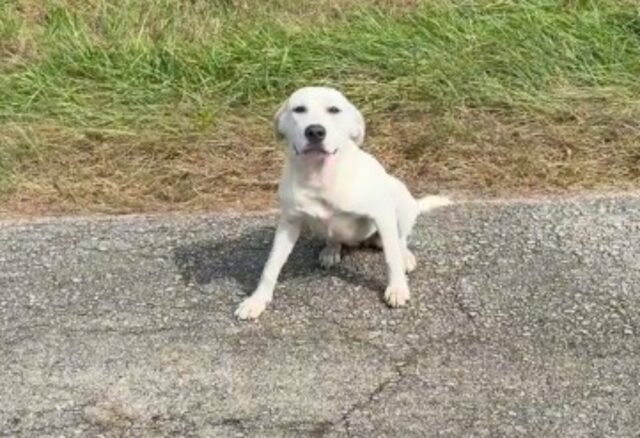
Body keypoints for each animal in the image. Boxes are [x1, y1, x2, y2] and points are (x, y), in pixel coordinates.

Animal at [235, 86, 450, 318]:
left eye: (334, 110)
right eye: (299, 109)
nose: (315, 131)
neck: (319, 175)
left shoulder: (382, 213)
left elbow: (391, 258)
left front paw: (397, 288)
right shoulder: (289, 222)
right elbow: (271, 265)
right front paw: (257, 299)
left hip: (399, 197)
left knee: (400, 239)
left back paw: (405, 256)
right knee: (334, 237)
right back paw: (331, 250)